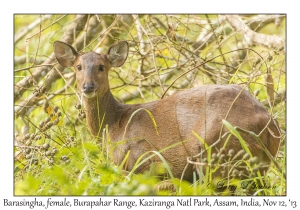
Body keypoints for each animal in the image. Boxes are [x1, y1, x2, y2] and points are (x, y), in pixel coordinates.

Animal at [54, 40, 282, 181]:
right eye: (78, 67)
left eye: (102, 66)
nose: (88, 86)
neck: (114, 124)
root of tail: (270, 123)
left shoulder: (136, 163)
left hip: (215, 151)